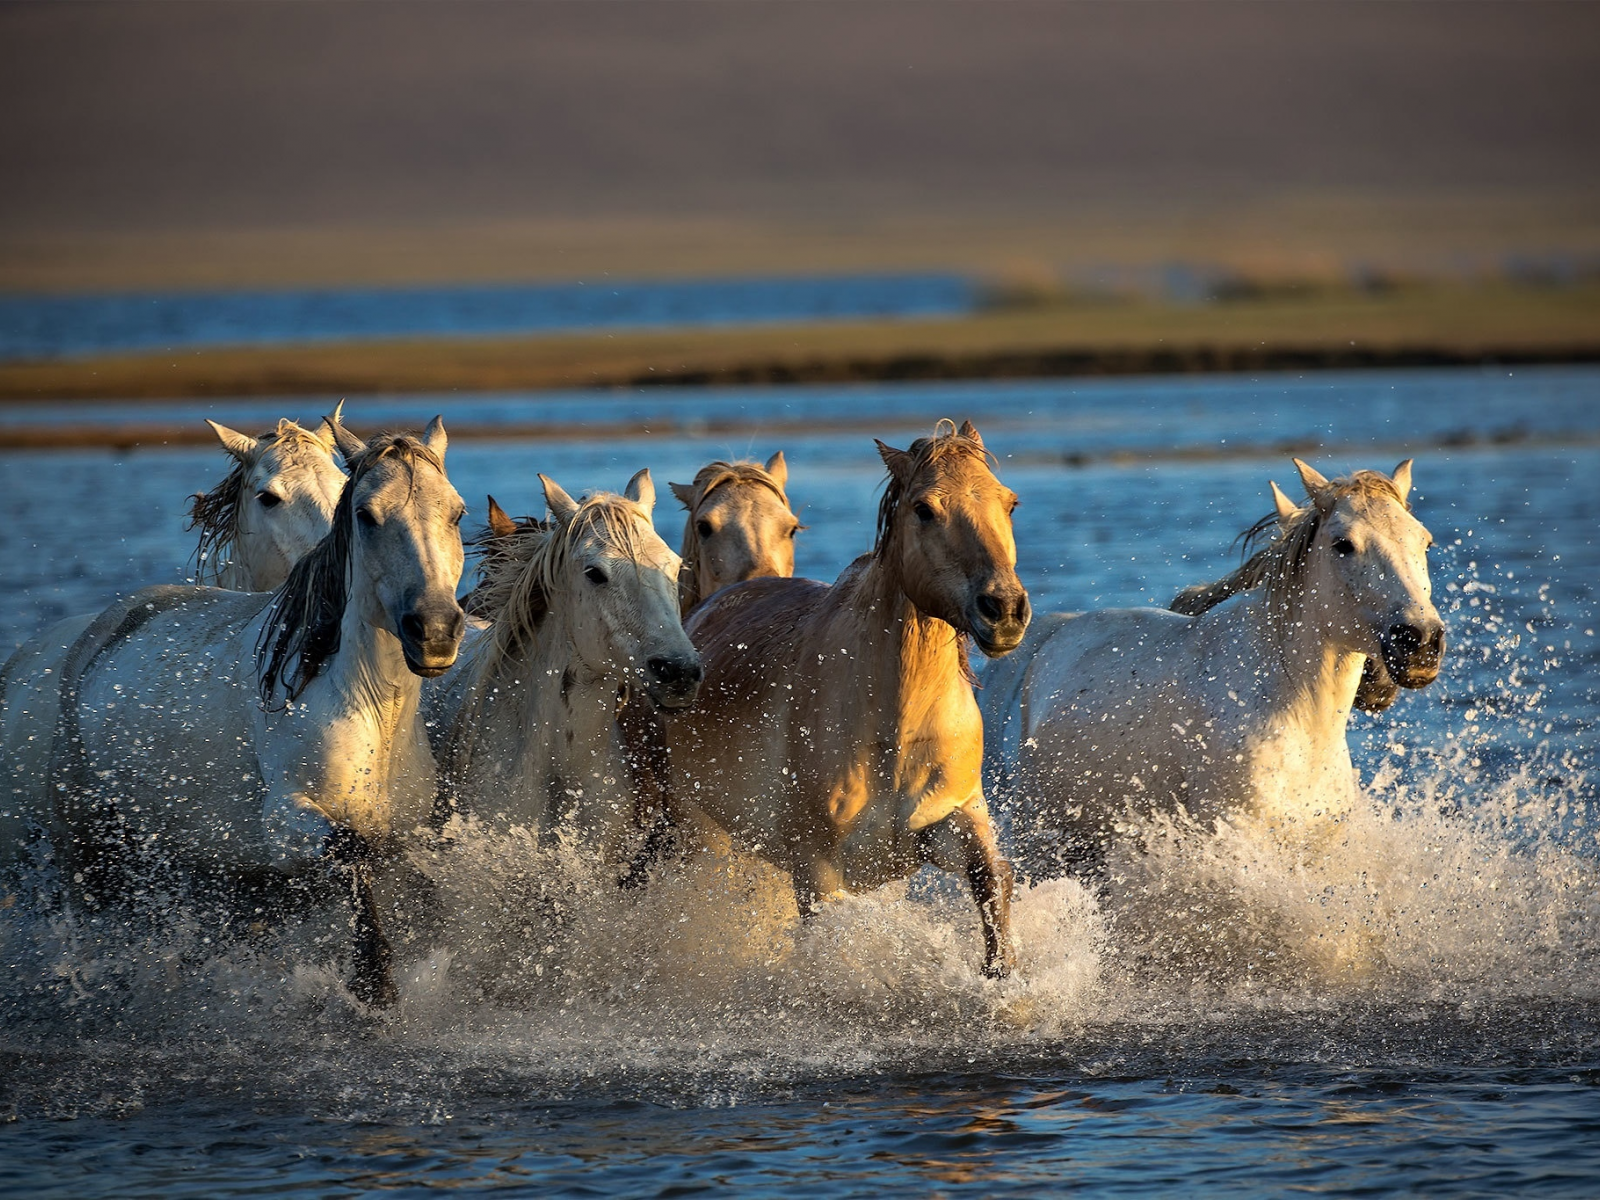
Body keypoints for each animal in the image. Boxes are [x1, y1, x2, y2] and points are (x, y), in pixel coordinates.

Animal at [31, 419, 467, 1011]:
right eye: (366, 515)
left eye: (457, 513)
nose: (436, 630)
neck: (372, 708)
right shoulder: (284, 821)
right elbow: (352, 852)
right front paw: (373, 983)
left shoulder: (404, 830)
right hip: (86, 844)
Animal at [662, 419, 1024, 979]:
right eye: (924, 509)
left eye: (1009, 503)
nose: (1004, 609)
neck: (894, 725)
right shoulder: (818, 869)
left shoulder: (953, 818)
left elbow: (991, 879)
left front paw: (1001, 977)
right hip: (703, 832)